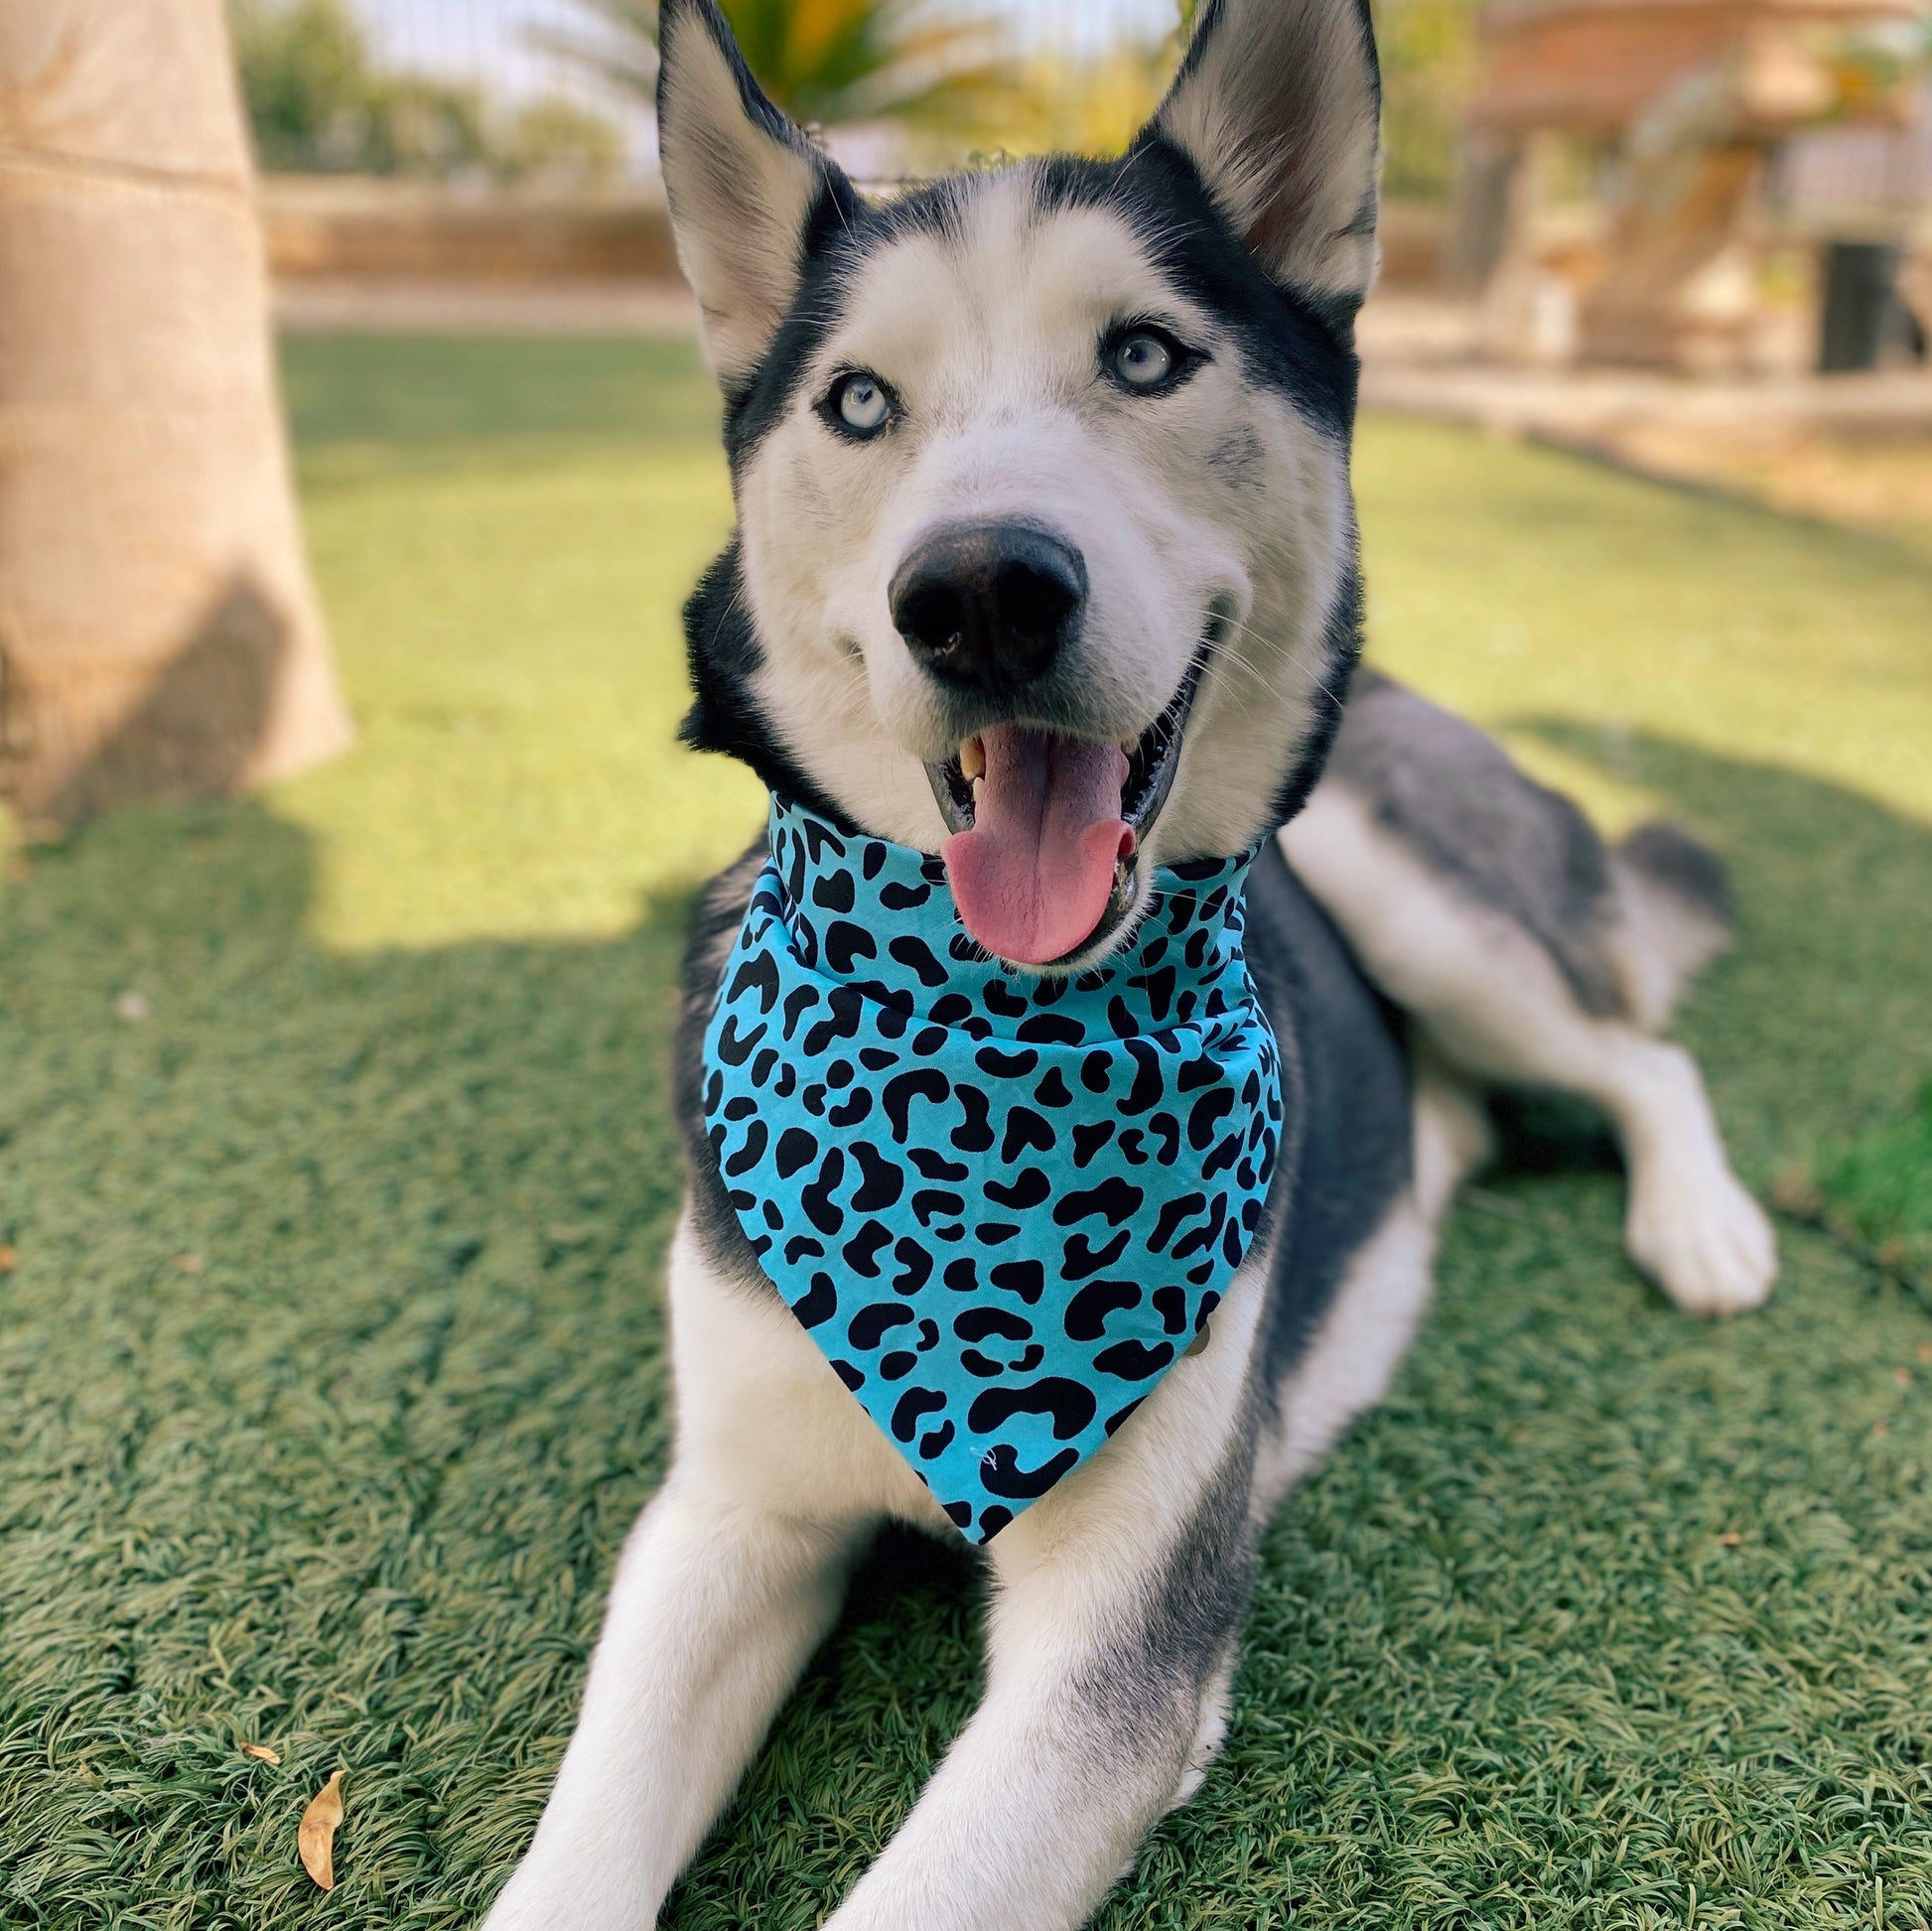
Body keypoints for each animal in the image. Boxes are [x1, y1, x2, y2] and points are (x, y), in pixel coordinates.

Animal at [483, 7, 1777, 1925]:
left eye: (1149, 355)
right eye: (856, 401)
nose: (979, 591)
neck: (981, 1059)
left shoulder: (1119, 1652)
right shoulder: (722, 1520)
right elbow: (575, 1855)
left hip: (1403, 876)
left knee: (1640, 1055)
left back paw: (1698, 1224)